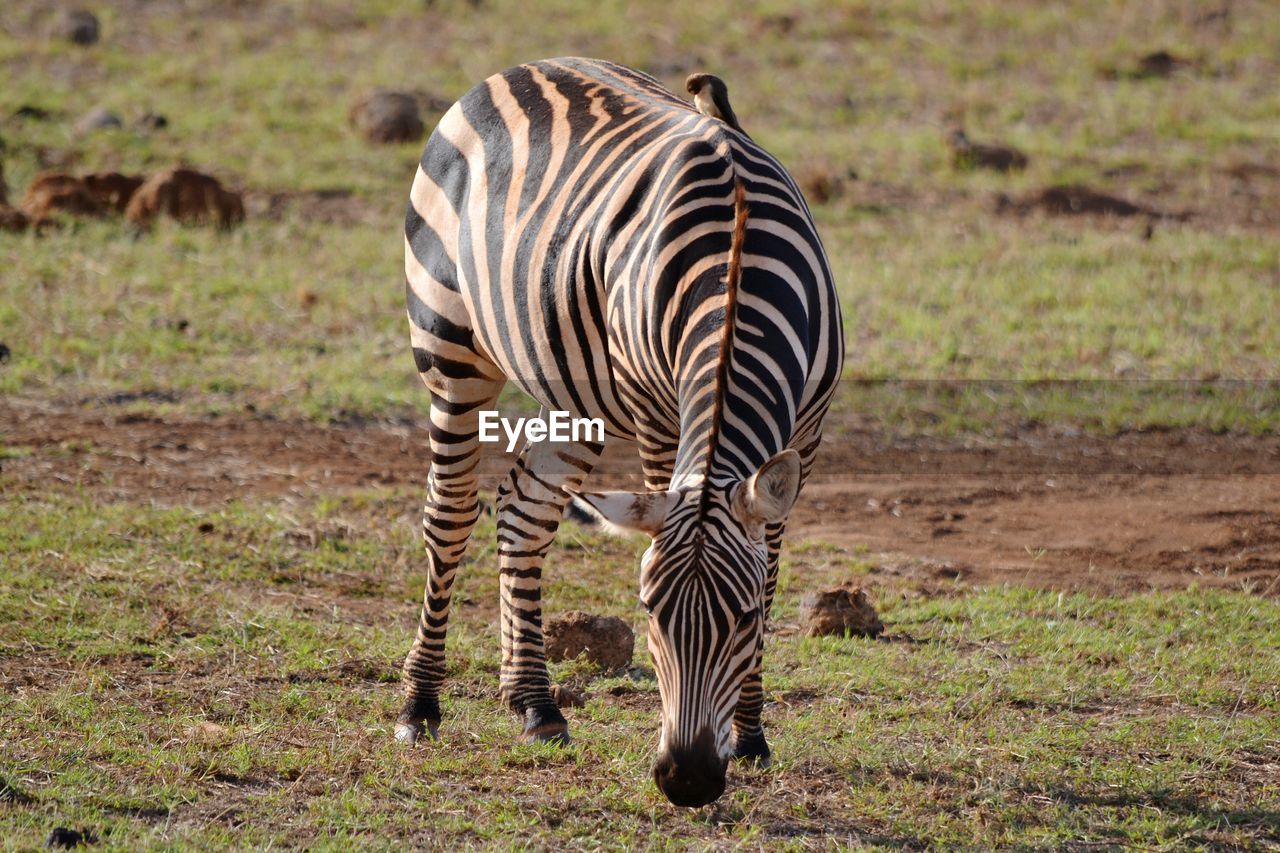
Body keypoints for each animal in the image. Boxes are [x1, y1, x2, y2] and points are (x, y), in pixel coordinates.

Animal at [396, 54, 839, 804]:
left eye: (746, 618)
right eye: (650, 612)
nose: (687, 778)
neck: (736, 272)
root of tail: (519, 68)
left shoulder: (802, 441)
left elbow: (773, 569)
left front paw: (752, 734)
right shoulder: (661, 421)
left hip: (577, 392)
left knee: (523, 509)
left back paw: (535, 703)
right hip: (450, 344)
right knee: (449, 515)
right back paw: (419, 703)